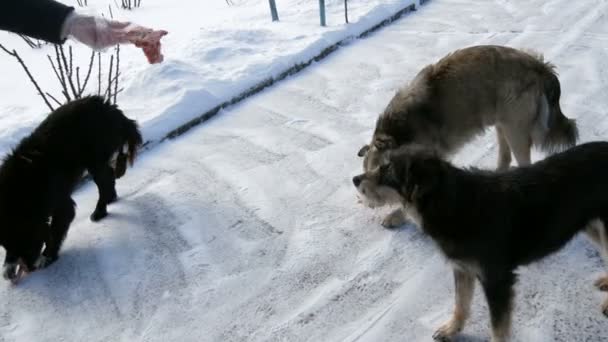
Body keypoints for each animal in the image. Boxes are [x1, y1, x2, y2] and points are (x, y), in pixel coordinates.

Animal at [0, 96, 141, 284]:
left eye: (25, 240)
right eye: (8, 245)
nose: (29, 268)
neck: (22, 192)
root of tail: (109, 106)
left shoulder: (61, 203)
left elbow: (56, 229)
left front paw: (47, 257)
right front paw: (9, 266)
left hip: (94, 157)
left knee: (105, 181)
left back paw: (100, 211)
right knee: (109, 177)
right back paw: (111, 197)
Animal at [352, 142, 608, 342]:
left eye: (387, 171)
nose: (355, 179)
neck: (451, 204)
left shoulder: (497, 280)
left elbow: (498, 327)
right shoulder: (462, 268)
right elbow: (461, 302)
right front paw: (452, 329)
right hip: (593, 226)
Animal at [358, 44, 576, 228]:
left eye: (385, 168)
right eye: (369, 169)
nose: (366, 198)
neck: (399, 132)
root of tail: (541, 66)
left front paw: (395, 216)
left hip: (515, 130)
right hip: (502, 124)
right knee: (505, 158)